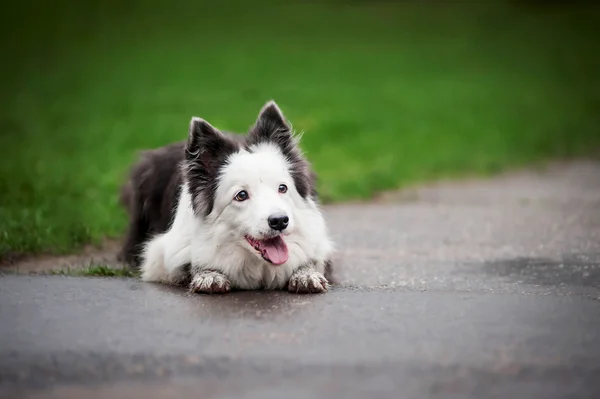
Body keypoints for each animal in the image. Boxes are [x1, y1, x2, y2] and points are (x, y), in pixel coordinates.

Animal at [117, 100, 332, 294]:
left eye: (282, 188)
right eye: (241, 195)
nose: (280, 221)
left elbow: (313, 259)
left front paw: (305, 273)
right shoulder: (159, 255)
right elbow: (187, 262)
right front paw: (208, 274)